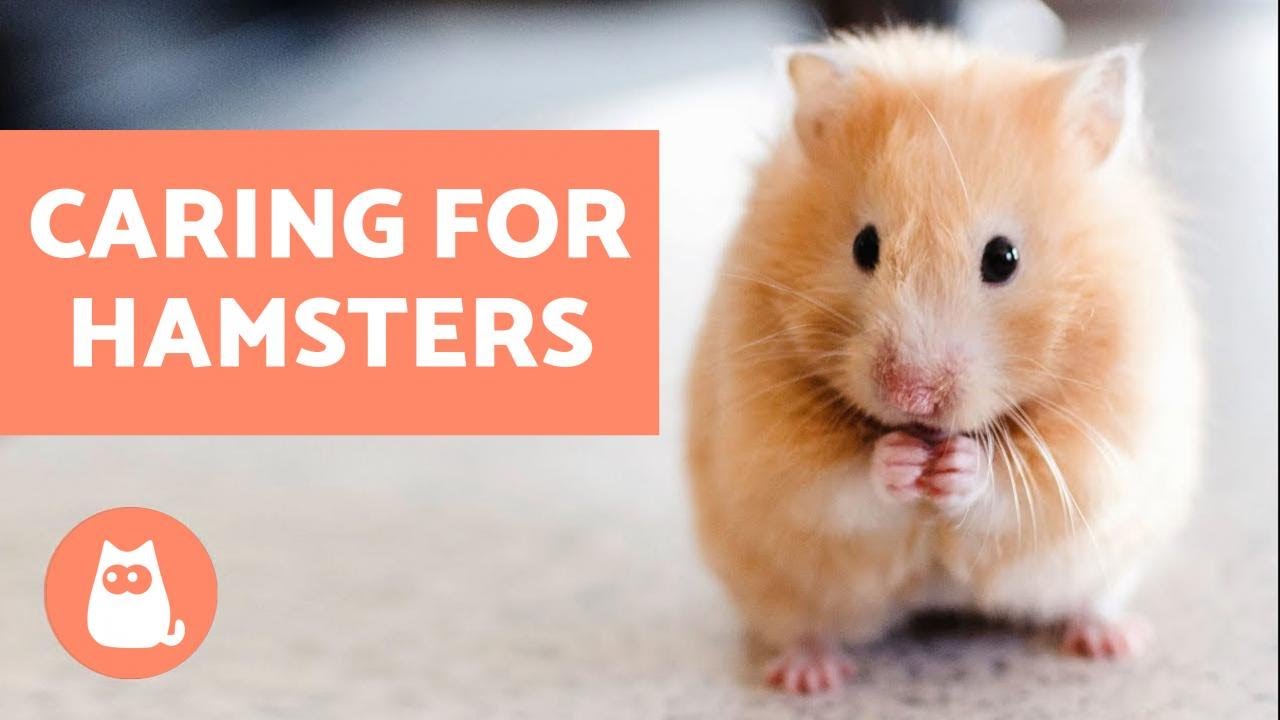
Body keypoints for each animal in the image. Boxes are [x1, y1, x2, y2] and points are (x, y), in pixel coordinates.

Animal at [686, 29, 1202, 695]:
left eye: (1003, 258)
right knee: (801, 625)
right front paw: (901, 461)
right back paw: (809, 676)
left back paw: (1114, 641)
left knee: (1092, 598)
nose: (912, 396)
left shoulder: (1104, 442)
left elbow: (1020, 487)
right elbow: (836, 485)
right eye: (864, 246)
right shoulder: (767, 446)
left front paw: (957, 466)